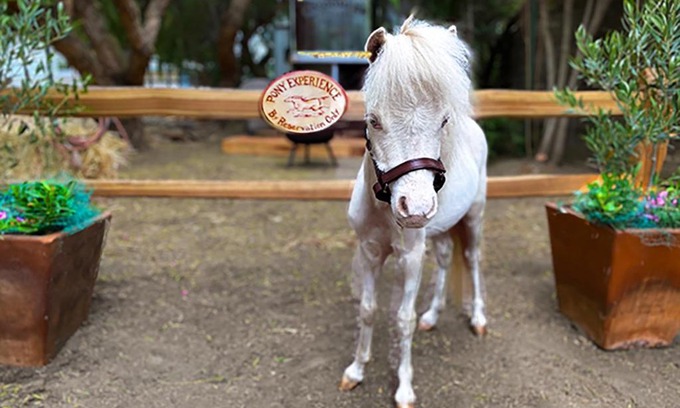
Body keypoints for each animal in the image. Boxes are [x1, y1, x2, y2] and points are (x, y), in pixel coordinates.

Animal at [339, 16, 488, 408]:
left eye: (443, 121)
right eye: (373, 120)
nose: (416, 209)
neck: (384, 210)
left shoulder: (409, 259)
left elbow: (402, 319)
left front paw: (404, 388)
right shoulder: (370, 252)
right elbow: (367, 309)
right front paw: (356, 370)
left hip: (474, 218)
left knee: (471, 259)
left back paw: (478, 319)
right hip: (440, 231)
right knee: (446, 257)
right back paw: (432, 316)